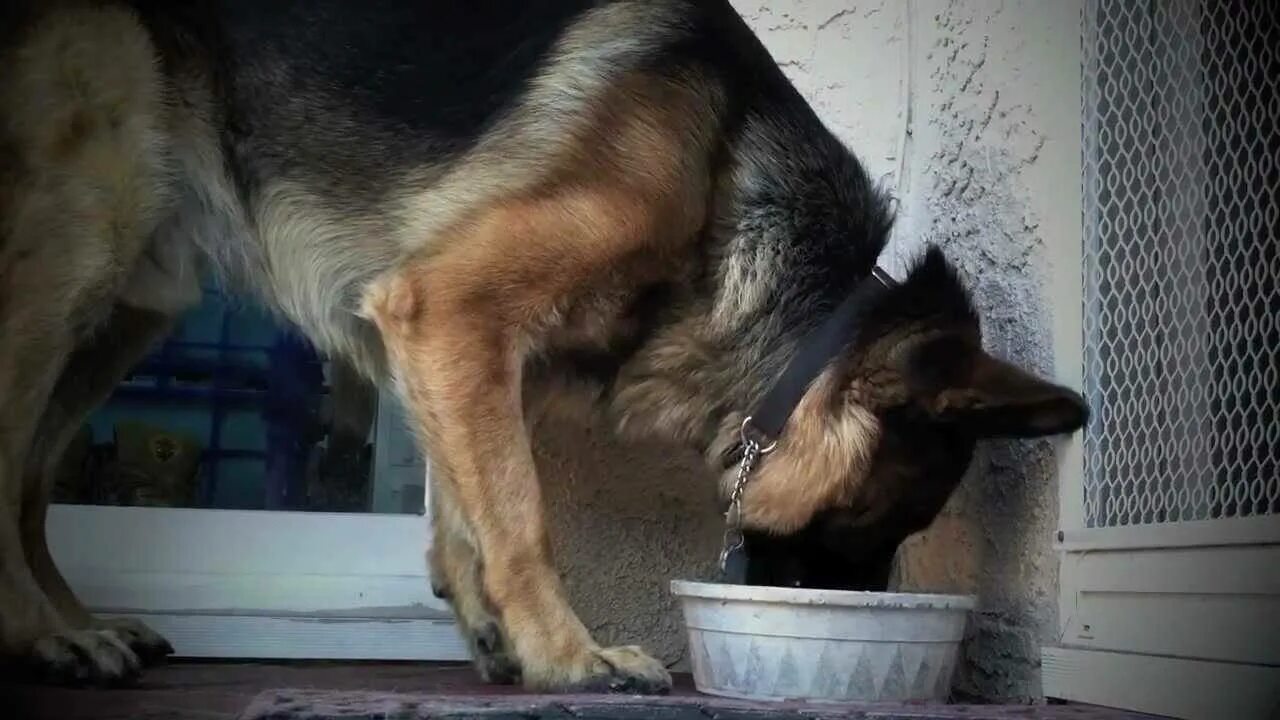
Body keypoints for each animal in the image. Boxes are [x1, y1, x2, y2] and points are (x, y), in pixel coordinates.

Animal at [0, 0, 1085, 691]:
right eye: (874, 522)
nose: (836, 613)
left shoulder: (450, 344)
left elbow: (468, 505)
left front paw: (494, 629)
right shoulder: (451, 310)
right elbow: (521, 516)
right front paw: (572, 656)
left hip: (129, 299)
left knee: (31, 482)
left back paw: (76, 626)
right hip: (79, 241)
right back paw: (45, 638)